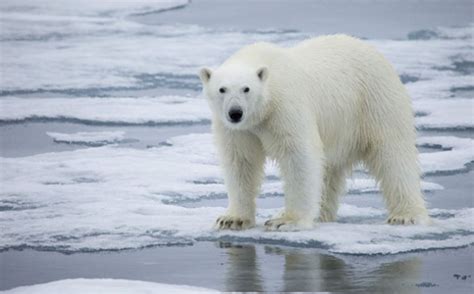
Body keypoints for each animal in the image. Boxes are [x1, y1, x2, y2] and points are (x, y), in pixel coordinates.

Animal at [198, 34, 432, 231]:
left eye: (246, 89)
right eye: (222, 89)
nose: (235, 112)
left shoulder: (285, 107)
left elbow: (299, 156)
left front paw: (286, 220)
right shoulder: (238, 130)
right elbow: (240, 162)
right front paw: (232, 219)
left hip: (375, 102)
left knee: (393, 155)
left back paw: (405, 215)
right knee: (328, 171)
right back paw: (321, 213)